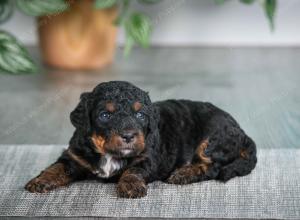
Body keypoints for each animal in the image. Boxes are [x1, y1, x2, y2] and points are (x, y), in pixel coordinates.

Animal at [24, 81, 256, 198]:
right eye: (105, 115)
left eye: (141, 115)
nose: (128, 135)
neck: (109, 154)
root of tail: (241, 131)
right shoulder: (74, 156)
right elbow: (57, 167)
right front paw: (41, 181)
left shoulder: (148, 157)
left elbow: (134, 170)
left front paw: (131, 186)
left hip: (211, 141)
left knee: (212, 167)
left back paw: (183, 174)